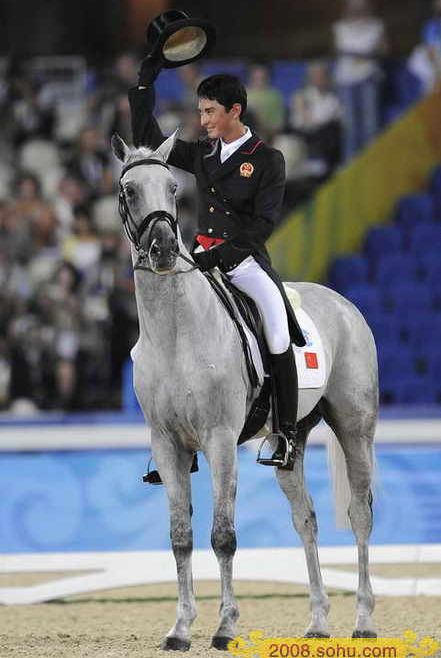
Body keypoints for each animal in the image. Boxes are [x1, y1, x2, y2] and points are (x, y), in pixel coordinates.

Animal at [111, 131, 378, 648]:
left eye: (173, 188)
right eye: (130, 191)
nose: (163, 249)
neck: (177, 331)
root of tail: (342, 303)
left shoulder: (218, 440)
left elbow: (223, 535)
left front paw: (225, 627)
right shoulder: (168, 444)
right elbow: (180, 537)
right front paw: (180, 628)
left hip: (355, 428)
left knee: (359, 514)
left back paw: (363, 621)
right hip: (291, 440)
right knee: (306, 519)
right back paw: (318, 623)